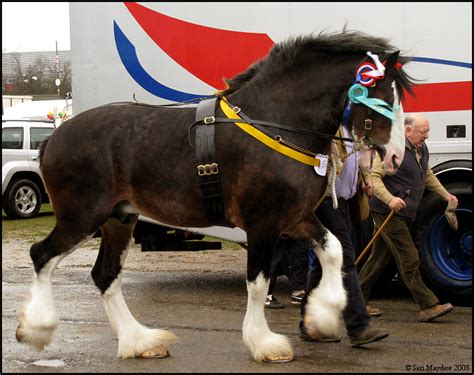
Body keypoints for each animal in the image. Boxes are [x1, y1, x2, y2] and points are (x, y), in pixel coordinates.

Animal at [16, 30, 412, 362]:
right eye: (381, 97)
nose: (394, 157)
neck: (275, 124)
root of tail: (55, 136)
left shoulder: (294, 219)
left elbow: (333, 250)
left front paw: (323, 316)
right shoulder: (263, 224)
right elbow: (259, 283)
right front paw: (264, 343)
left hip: (119, 218)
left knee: (105, 275)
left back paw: (139, 341)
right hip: (81, 217)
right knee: (42, 255)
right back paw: (36, 328)